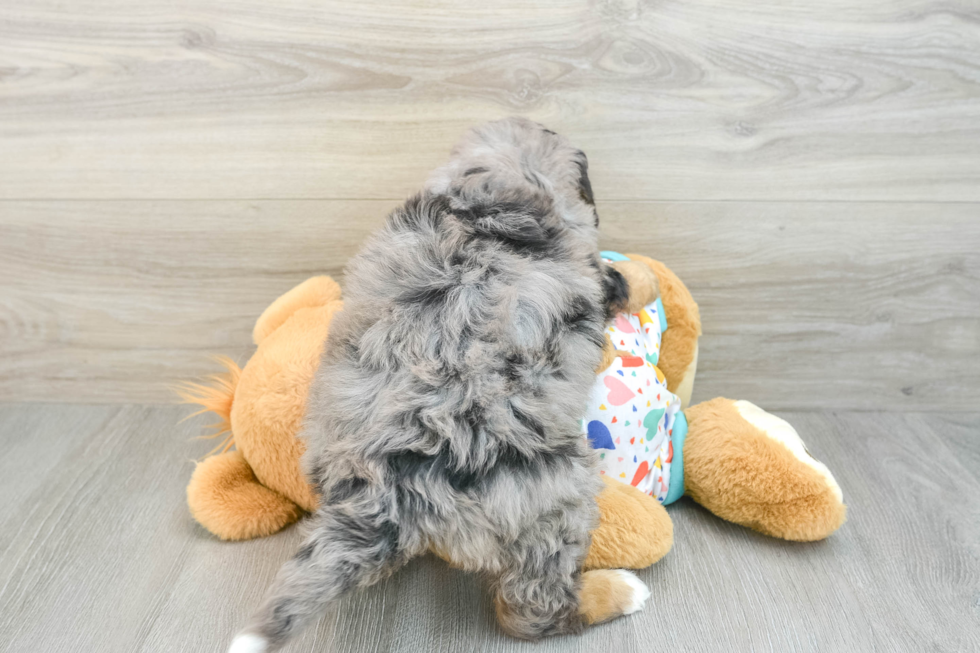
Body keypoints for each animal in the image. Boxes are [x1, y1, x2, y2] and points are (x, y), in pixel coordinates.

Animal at [226, 117, 648, 652]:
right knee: (529, 612)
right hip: (555, 496)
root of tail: (382, 493)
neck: (490, 185)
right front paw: (645, 274)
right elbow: (623, 278)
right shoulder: (590, 270)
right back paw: (617, 591)